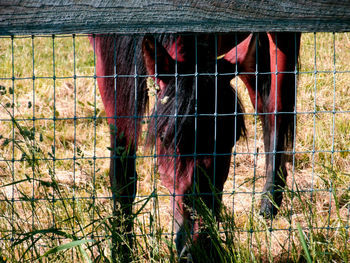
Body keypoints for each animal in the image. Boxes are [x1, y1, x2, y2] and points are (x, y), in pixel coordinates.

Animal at [89, 32, 300, 262]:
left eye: (232, 138)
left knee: (276, 111)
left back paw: (269, 202)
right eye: (163, 137)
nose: (199, 250)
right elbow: (122, 174)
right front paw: (121, 250)